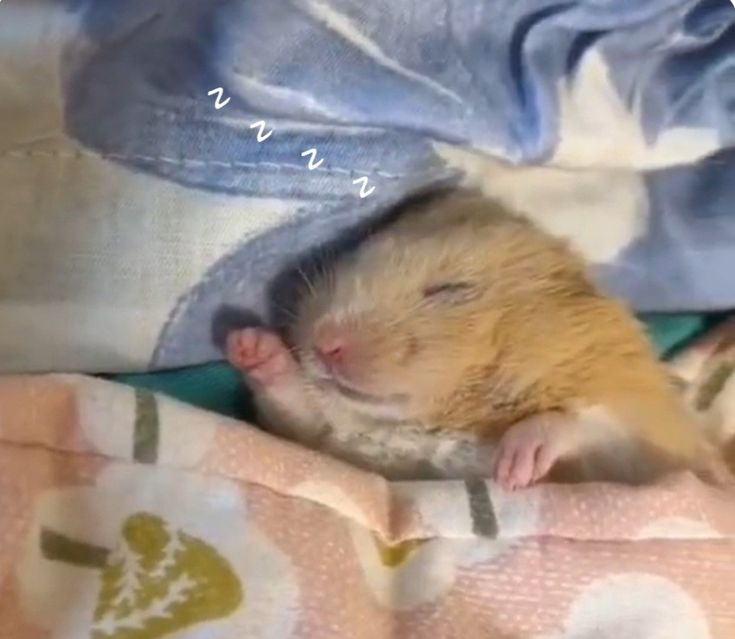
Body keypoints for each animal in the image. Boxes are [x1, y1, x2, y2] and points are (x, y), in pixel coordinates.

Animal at [225, 189, 729, 488]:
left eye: (451, 289)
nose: (324, 342)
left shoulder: (643, 446)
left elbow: (582, 424)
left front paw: (514, 467)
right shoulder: (332, 439)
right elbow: (299, 407)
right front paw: (247, 343)